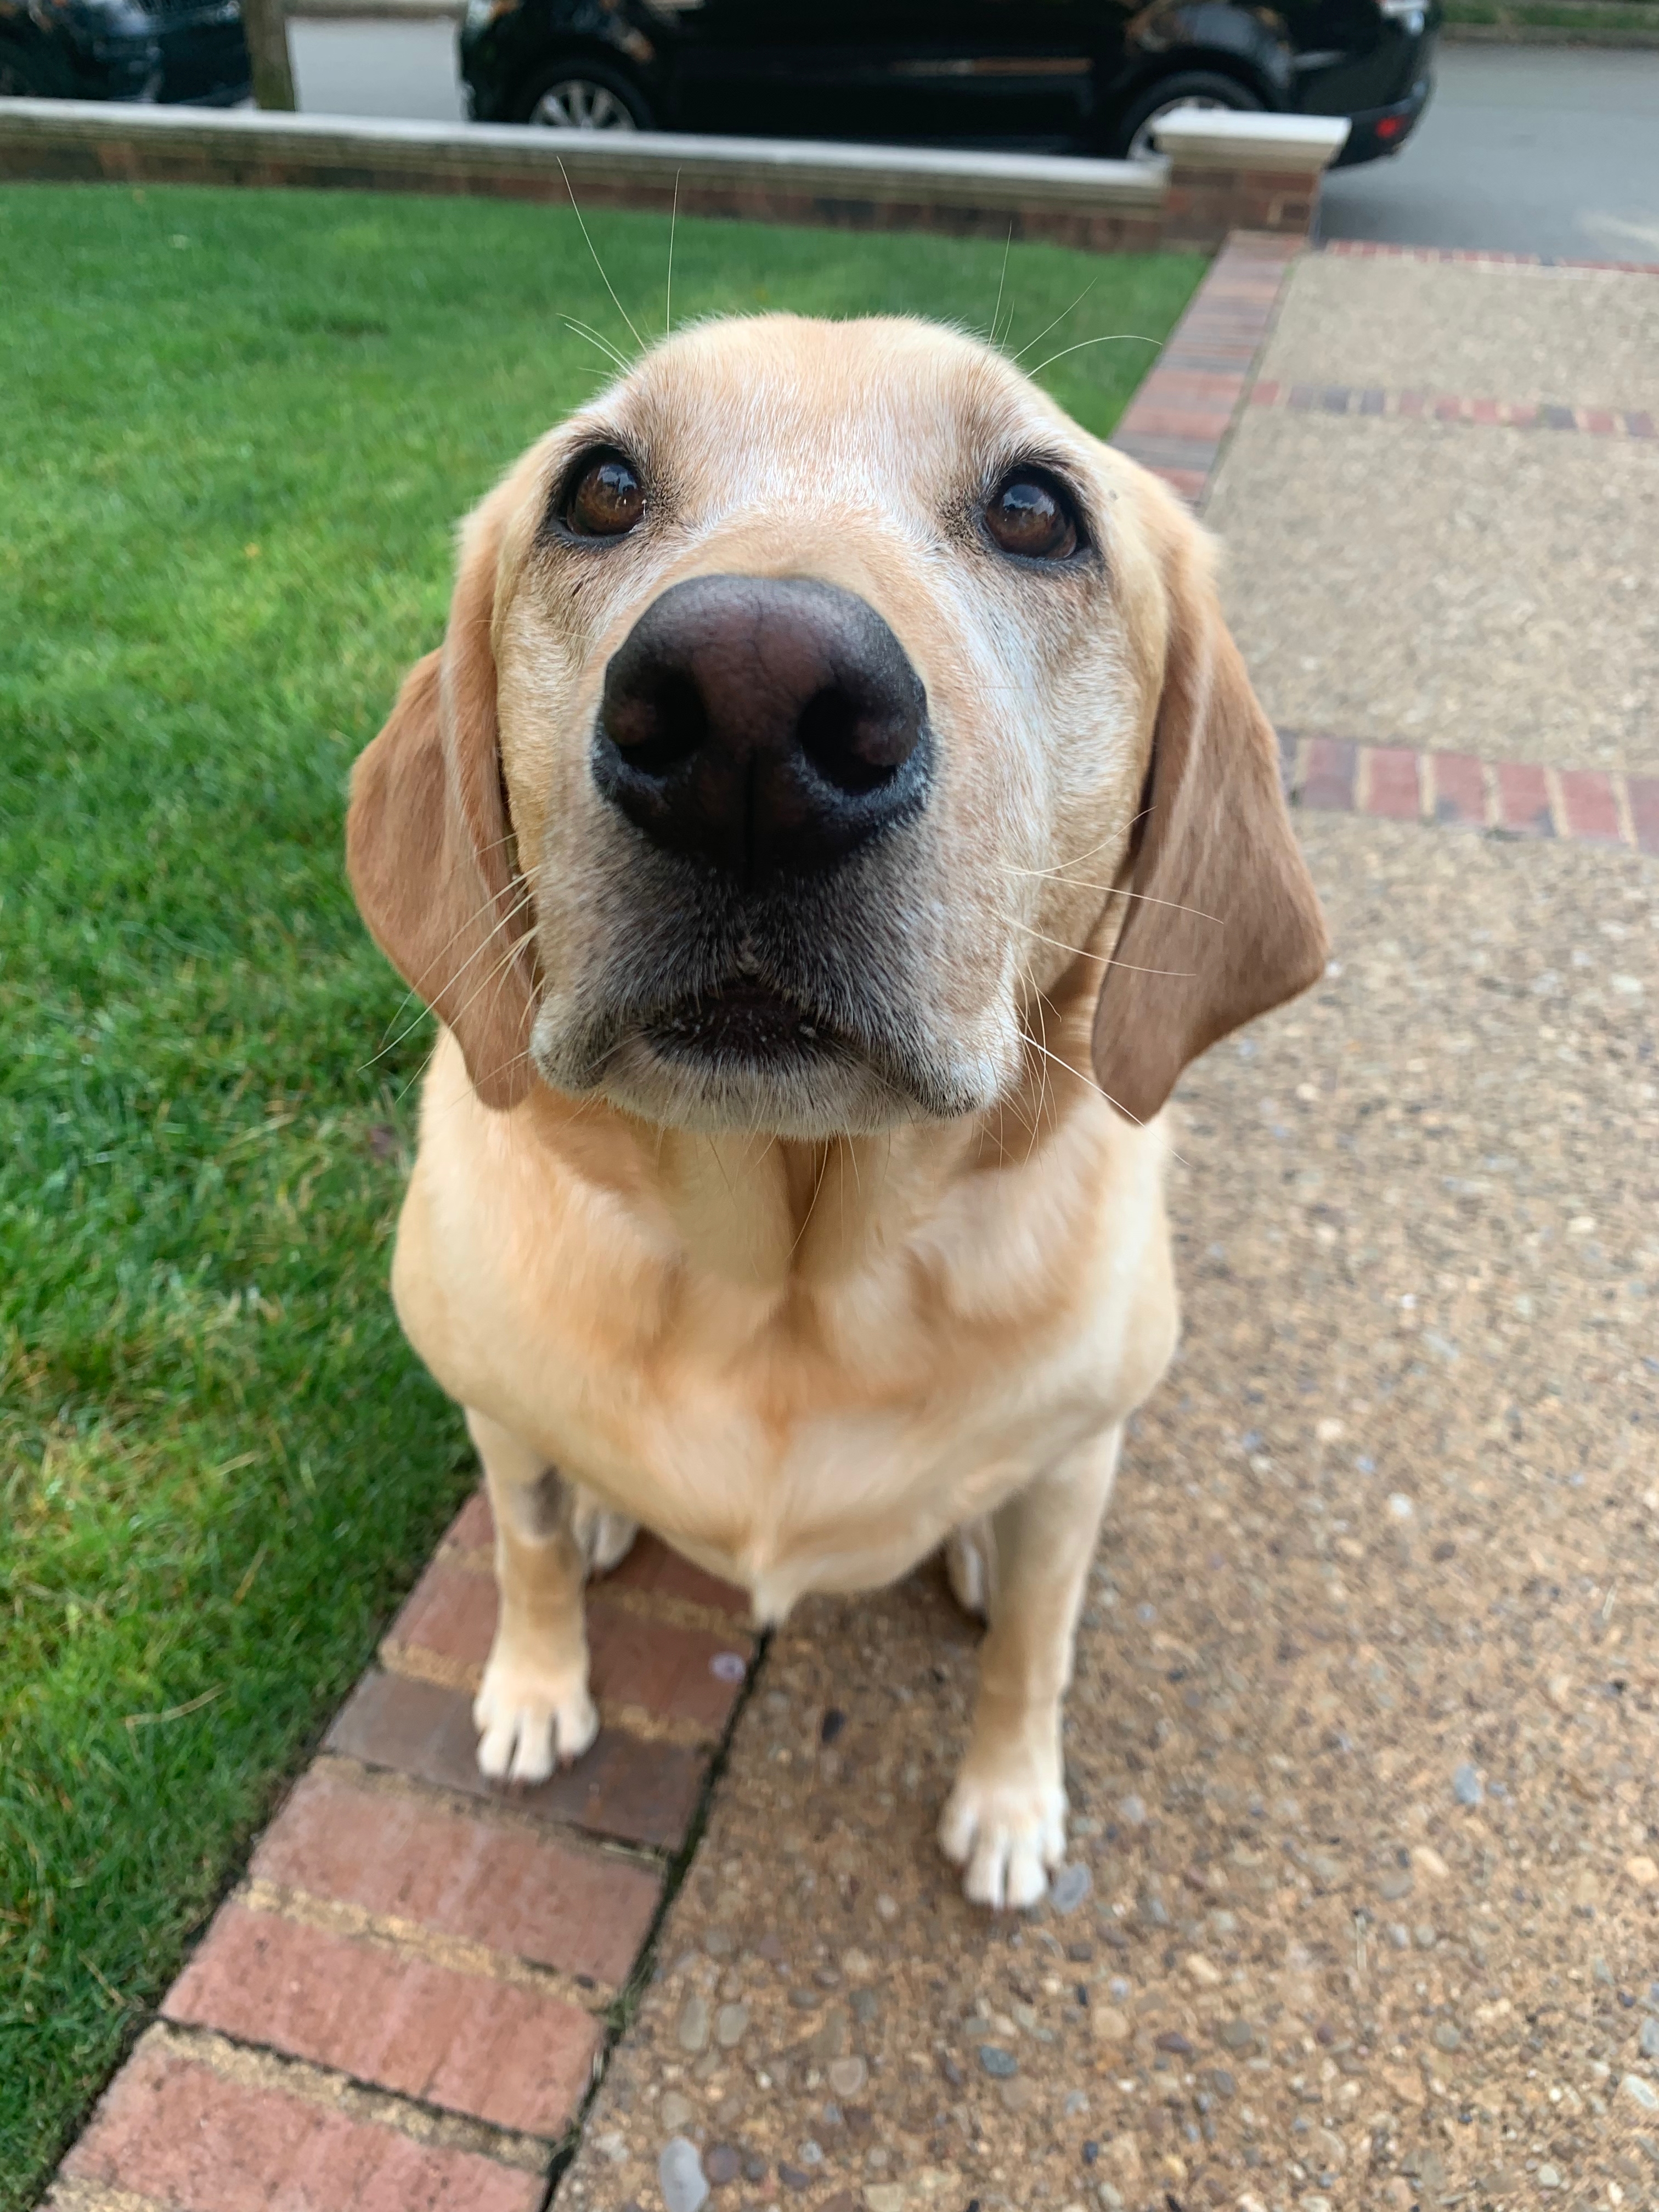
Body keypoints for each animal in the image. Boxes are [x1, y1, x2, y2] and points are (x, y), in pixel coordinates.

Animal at [347, 303, 1327, 1911]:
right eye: (598, 490)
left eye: (1037, 510)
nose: (747, 709)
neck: (790, 1281)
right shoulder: (490, 1405)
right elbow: (527, 1547)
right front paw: (537, 1688)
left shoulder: (1082, 1460)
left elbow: (1037, 1647)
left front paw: (1009, 1802)